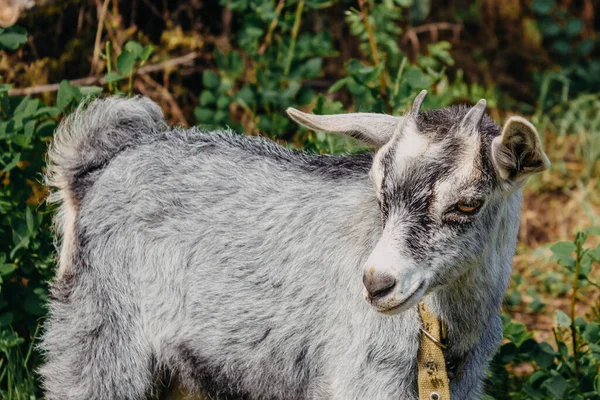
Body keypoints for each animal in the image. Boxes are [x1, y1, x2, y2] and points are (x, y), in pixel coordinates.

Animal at [39, 92, 552, 398]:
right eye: (379, 191)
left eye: (468, 204)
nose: (376, 284)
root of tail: (94, 170)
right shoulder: (362, 381)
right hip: (98, 338)